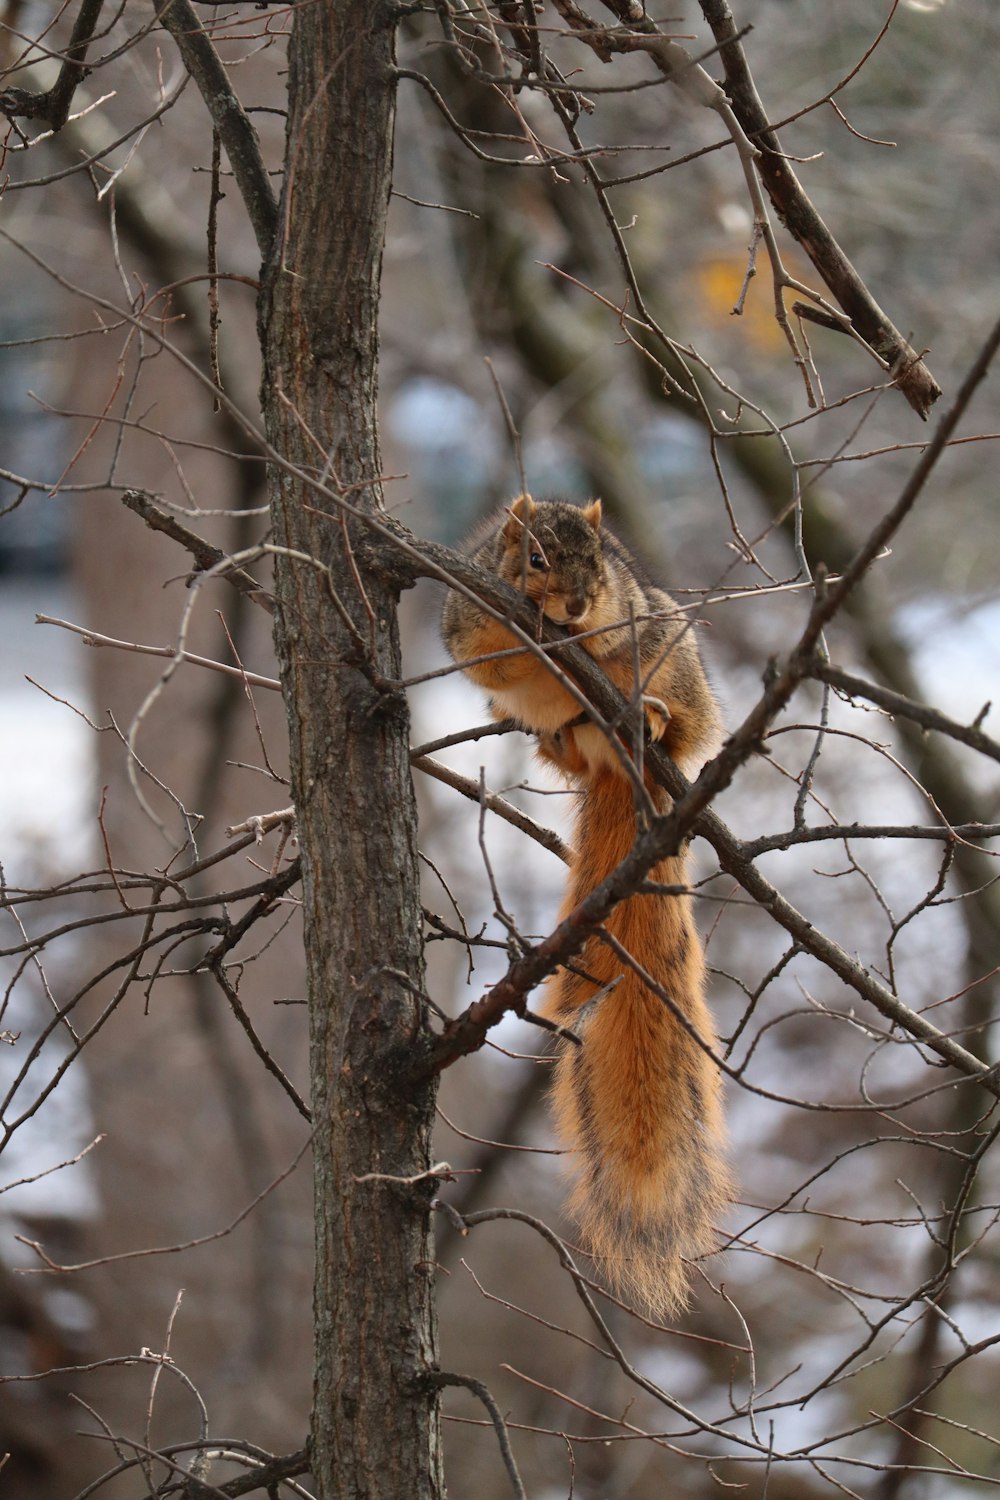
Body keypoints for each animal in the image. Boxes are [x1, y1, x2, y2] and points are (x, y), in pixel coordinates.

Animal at [440, 495, 731, 1326]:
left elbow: (610, 642)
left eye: (601, 564)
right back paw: (572, 737)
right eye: (534, 558)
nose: (571, 605)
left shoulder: (630, 618)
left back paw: (656, 722)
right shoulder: (467, 624)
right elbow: (491, 658)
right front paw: (534, 636)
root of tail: (620, 769)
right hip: (541, 729)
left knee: (681, 722)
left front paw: (581, 639)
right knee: (559, 742)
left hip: (679, 663)